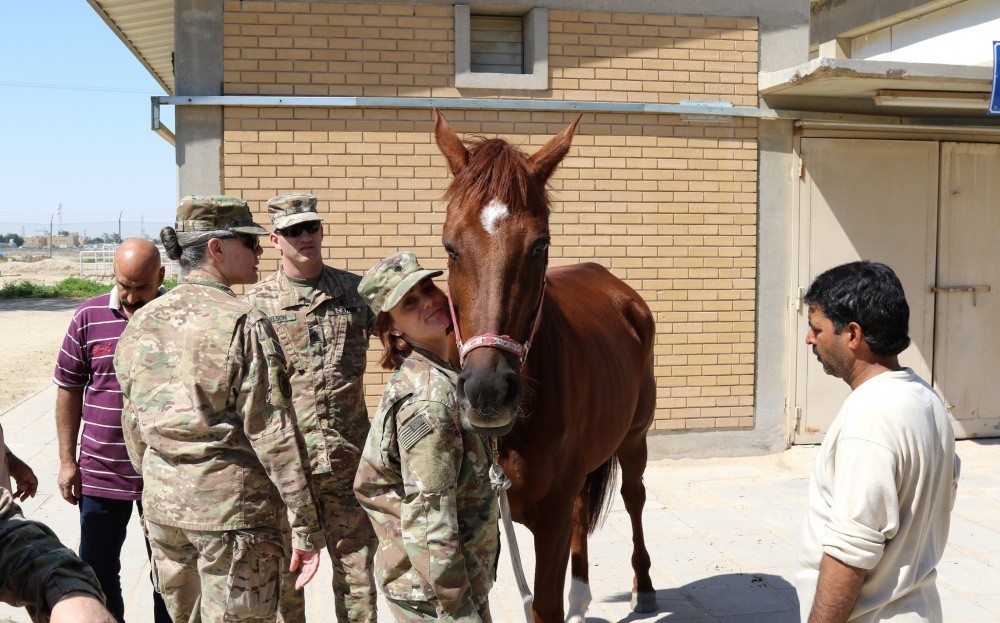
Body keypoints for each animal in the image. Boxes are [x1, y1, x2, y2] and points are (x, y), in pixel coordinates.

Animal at [434, 112, 660, 623]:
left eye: (540, 245)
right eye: (450, 247)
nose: (488, 392)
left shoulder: (550, 522)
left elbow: (544, 607)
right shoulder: (479, 518)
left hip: (634, 438)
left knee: (634, 497)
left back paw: (643, 586)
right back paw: (582, 596)